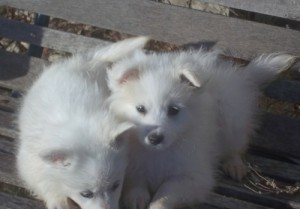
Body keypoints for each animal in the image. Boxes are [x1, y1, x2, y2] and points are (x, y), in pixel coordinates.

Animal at [15, 36, 148, 209]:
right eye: (86, 194)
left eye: (116, 185)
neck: (78, 126)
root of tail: (83, 62)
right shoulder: (29, 160)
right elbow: (42, 179)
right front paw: (58, 200)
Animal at [106, 47, 296, 209]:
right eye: (140, 109)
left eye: (173, 110)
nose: (155, 138)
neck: (158, 152)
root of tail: (240, 75)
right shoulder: (133, 166)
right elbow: (135, 183)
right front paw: (136, 198)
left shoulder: (193, 177)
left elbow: (165, 195)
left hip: (231, 114)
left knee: (236, 145)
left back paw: (235, 165)